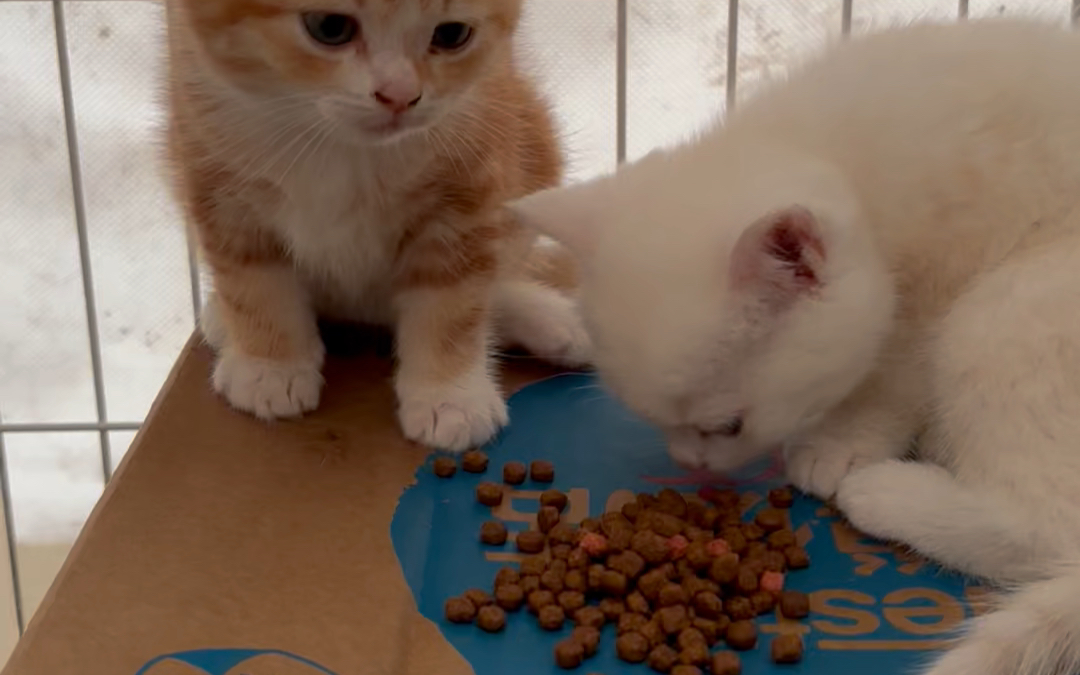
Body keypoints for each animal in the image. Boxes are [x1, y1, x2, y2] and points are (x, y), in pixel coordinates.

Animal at [166, 1, 591, 453]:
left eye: (452, 35)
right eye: (329, 27)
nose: (400, 96)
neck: (339, 147)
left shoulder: (468, 180)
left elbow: (456, 299)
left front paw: (450, 396)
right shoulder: (212, 167)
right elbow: (251, 278)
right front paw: (270, 365)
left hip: (531, 136)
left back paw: (554, 321)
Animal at [509, 18, 1080, 673]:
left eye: (727, 426)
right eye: (654, 423)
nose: (689, 462)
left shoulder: (944, 272)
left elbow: (896, 365)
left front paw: (843, 440)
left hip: (1004, 312)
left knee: (1049, 524)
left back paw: (881, 492)